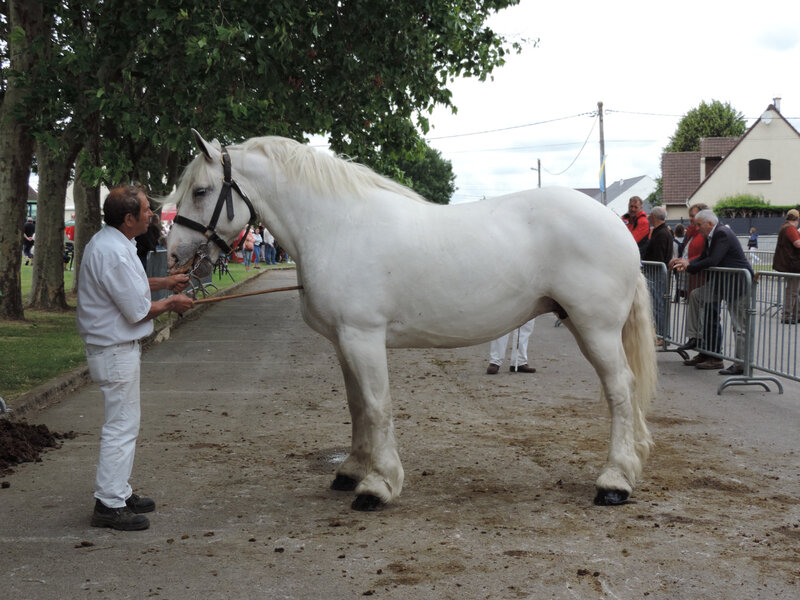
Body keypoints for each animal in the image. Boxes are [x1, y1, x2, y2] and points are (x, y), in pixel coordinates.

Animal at [164, 131, 656, 510]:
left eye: (201, 191)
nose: (174, 254)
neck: (336, 226)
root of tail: (616, 225)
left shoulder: (363, 337)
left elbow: (377, 406)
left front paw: (377, 487)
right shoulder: (343, 342)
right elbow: (357, 406)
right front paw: (351, 470)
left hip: (595, 329)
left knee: (620, 391)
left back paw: (614, 483)